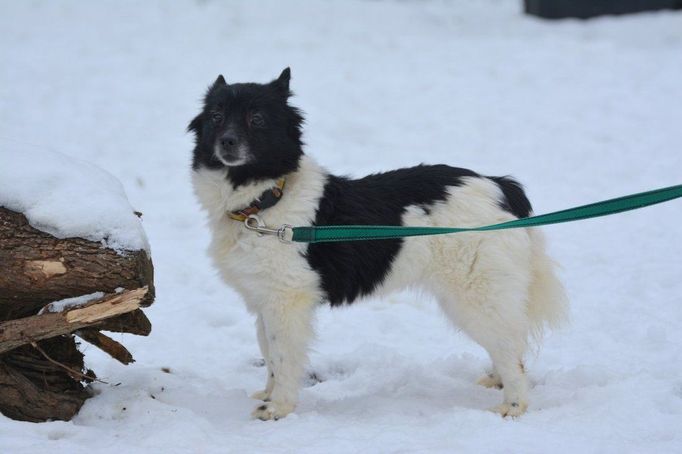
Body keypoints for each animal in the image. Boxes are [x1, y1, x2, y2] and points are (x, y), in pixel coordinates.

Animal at [189, 69, 564, 420]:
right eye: (216, 116)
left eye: (257, 119)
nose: (227, 142)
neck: (267, 201)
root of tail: (500, 186)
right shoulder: (264, 300)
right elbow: (268, 354)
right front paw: (268, 395)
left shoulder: (287, 300)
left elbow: (282, 357)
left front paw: (278, 407)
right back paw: (496, 381)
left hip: (476, 294)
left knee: (511, 351)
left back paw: (513, 405)